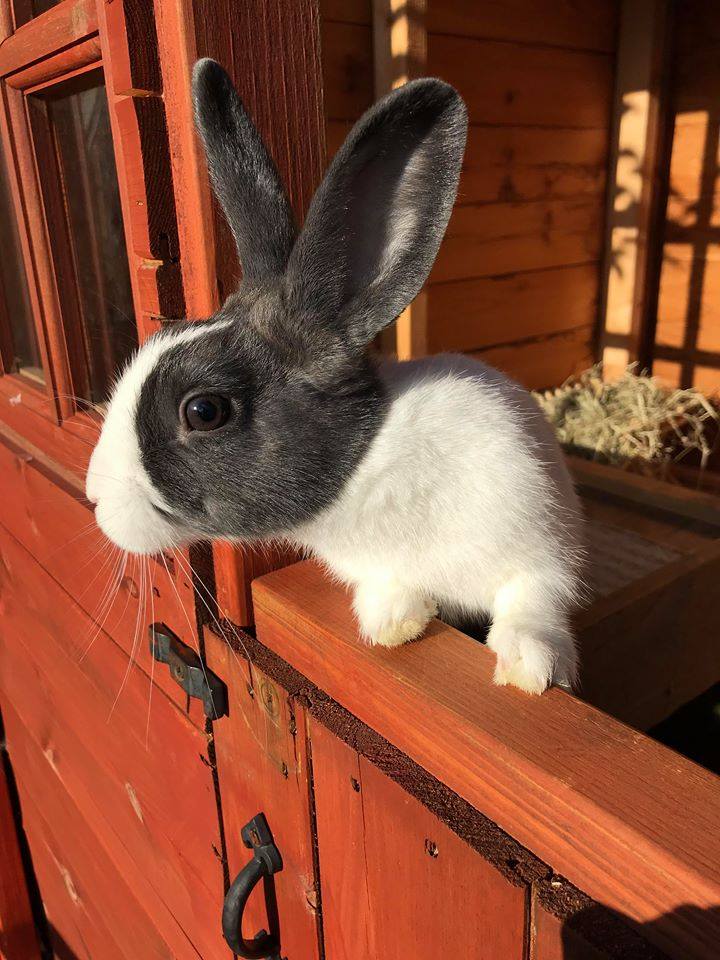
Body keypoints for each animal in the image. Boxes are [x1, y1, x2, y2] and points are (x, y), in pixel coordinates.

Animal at [86, 58, 585, 694]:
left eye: (204, 411)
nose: (94, 496)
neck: (369, 470)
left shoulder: (540, 535)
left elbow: (534, 597)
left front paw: (531, 668)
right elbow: (391, 587)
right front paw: (391, 624)